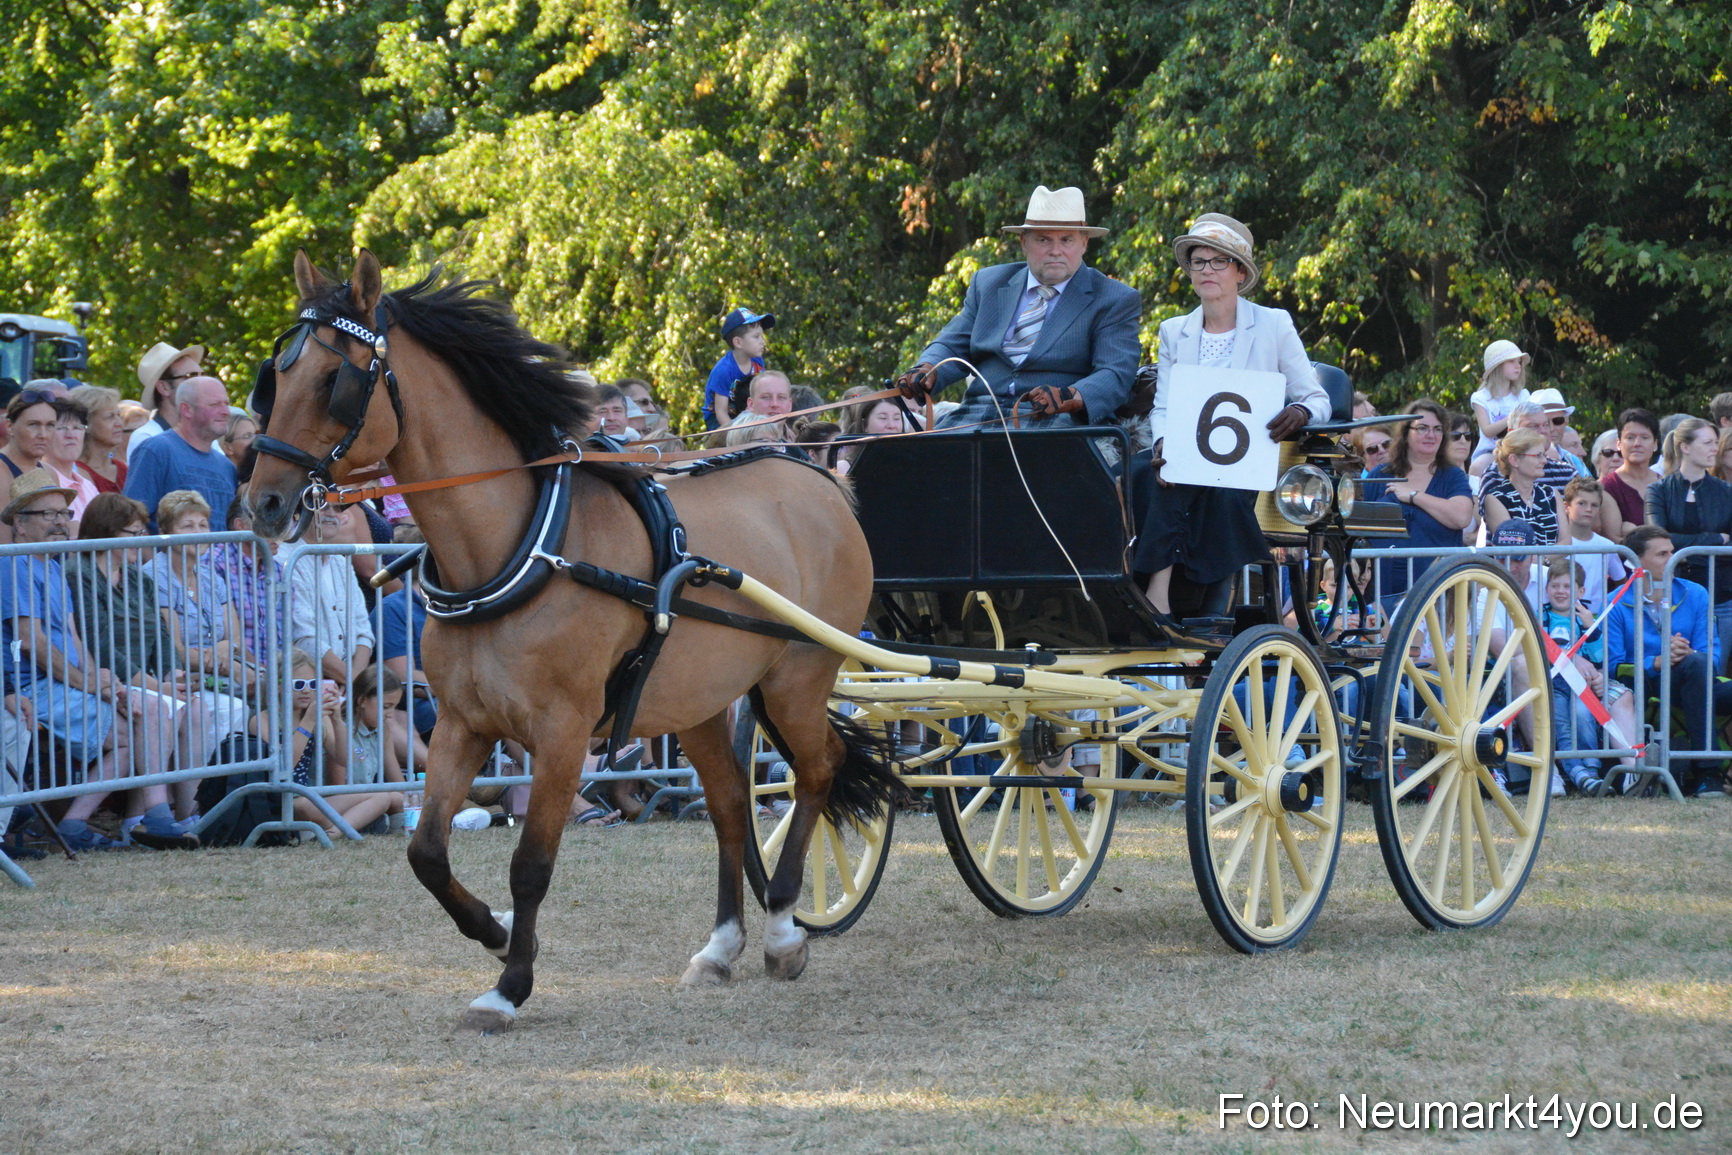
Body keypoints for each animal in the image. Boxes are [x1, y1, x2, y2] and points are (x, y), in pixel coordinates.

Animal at [246, 250, 896, 1032]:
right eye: (276, 376)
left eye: (331, 381)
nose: (263, 501)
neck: (517, 548)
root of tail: (820, 480)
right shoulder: (463, 723)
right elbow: (426, 851)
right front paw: (495, 932)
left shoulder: (561, 731)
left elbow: (530, 864)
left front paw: (509, 985)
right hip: (700, 699)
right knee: (729, 805)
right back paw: (720, 946)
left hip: (797, 676)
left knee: (816, 770)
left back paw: (781, 929)